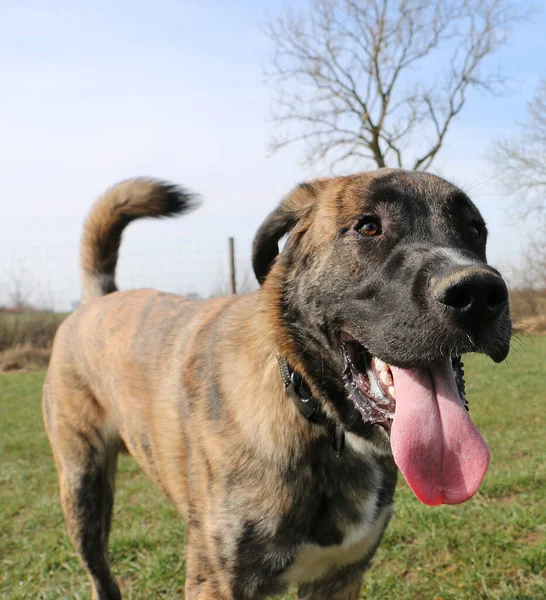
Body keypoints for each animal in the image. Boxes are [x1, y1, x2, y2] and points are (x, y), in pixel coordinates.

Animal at [42, 171, 510, 596]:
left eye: (475, 229)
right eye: (368, 226)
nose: (478, 294)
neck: (314, 416)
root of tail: (98, 299)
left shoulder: (340, 577)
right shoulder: (217, 583)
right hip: (82, 491)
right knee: (101, 575)